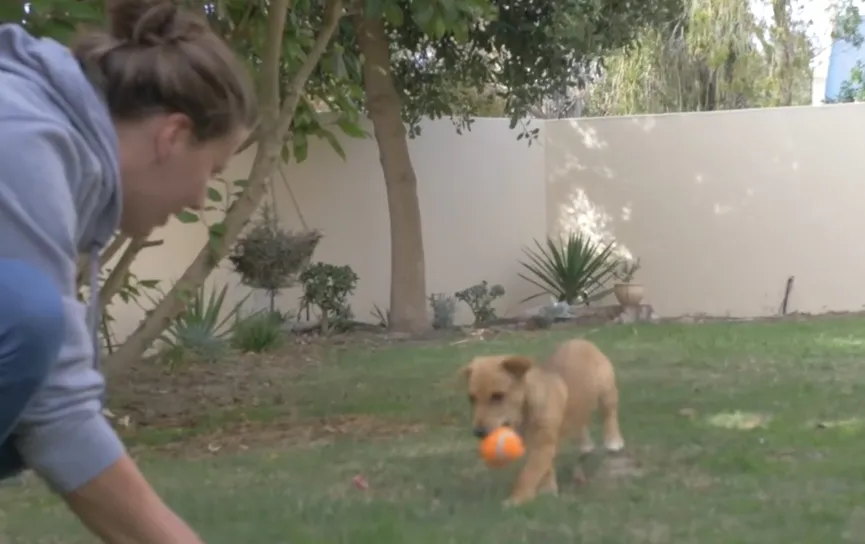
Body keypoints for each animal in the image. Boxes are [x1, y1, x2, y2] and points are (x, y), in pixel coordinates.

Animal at [462, 340, 624, 506]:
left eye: (498, 396)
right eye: (471, 398)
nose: (478, 432)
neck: (525, 409)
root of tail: (581, 341)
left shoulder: (542, 445)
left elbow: (528, 474)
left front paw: (517, 499)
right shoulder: (536, 445)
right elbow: (545, 469)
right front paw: (548, 490)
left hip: (607, 391)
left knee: (609, 415)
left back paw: (613, 441)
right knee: (581, 427)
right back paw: (585, 447)